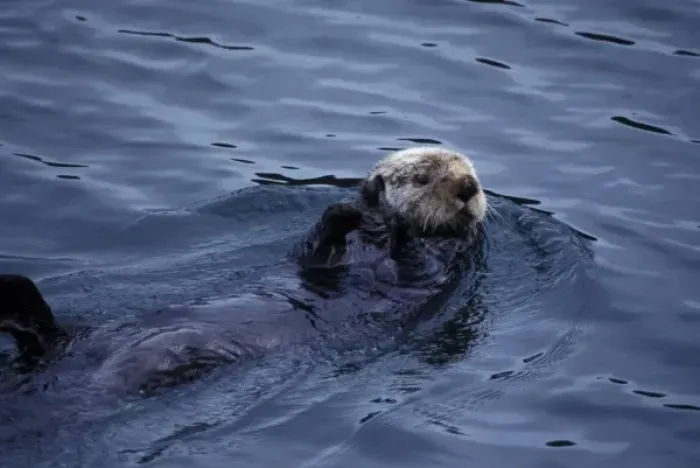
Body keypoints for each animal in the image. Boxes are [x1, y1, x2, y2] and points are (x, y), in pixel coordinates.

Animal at [0, 147, 487, 395]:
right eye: (422, 177)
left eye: (472, 175)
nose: (468, 187)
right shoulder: (313, 256)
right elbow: (317, 250)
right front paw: (349, 213)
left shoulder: (438, 268)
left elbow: (412, 263)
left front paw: (399, 226)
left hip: (169, 356)